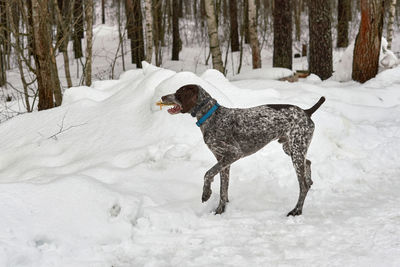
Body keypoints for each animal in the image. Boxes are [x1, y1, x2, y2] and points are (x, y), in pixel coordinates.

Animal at [160, 85, 324, 217]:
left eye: (179, 93)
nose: (162, 97)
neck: (211, 116)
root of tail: (306, 112)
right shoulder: (223, 160)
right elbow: (223, 188)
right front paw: (220, 210)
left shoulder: (233, 154)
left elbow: (207, 174)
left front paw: (206, 193)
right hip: (290, 148)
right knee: (308, 163)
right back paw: (310, 182)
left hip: (296, 152)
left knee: (302, 185)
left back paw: (297, 210)